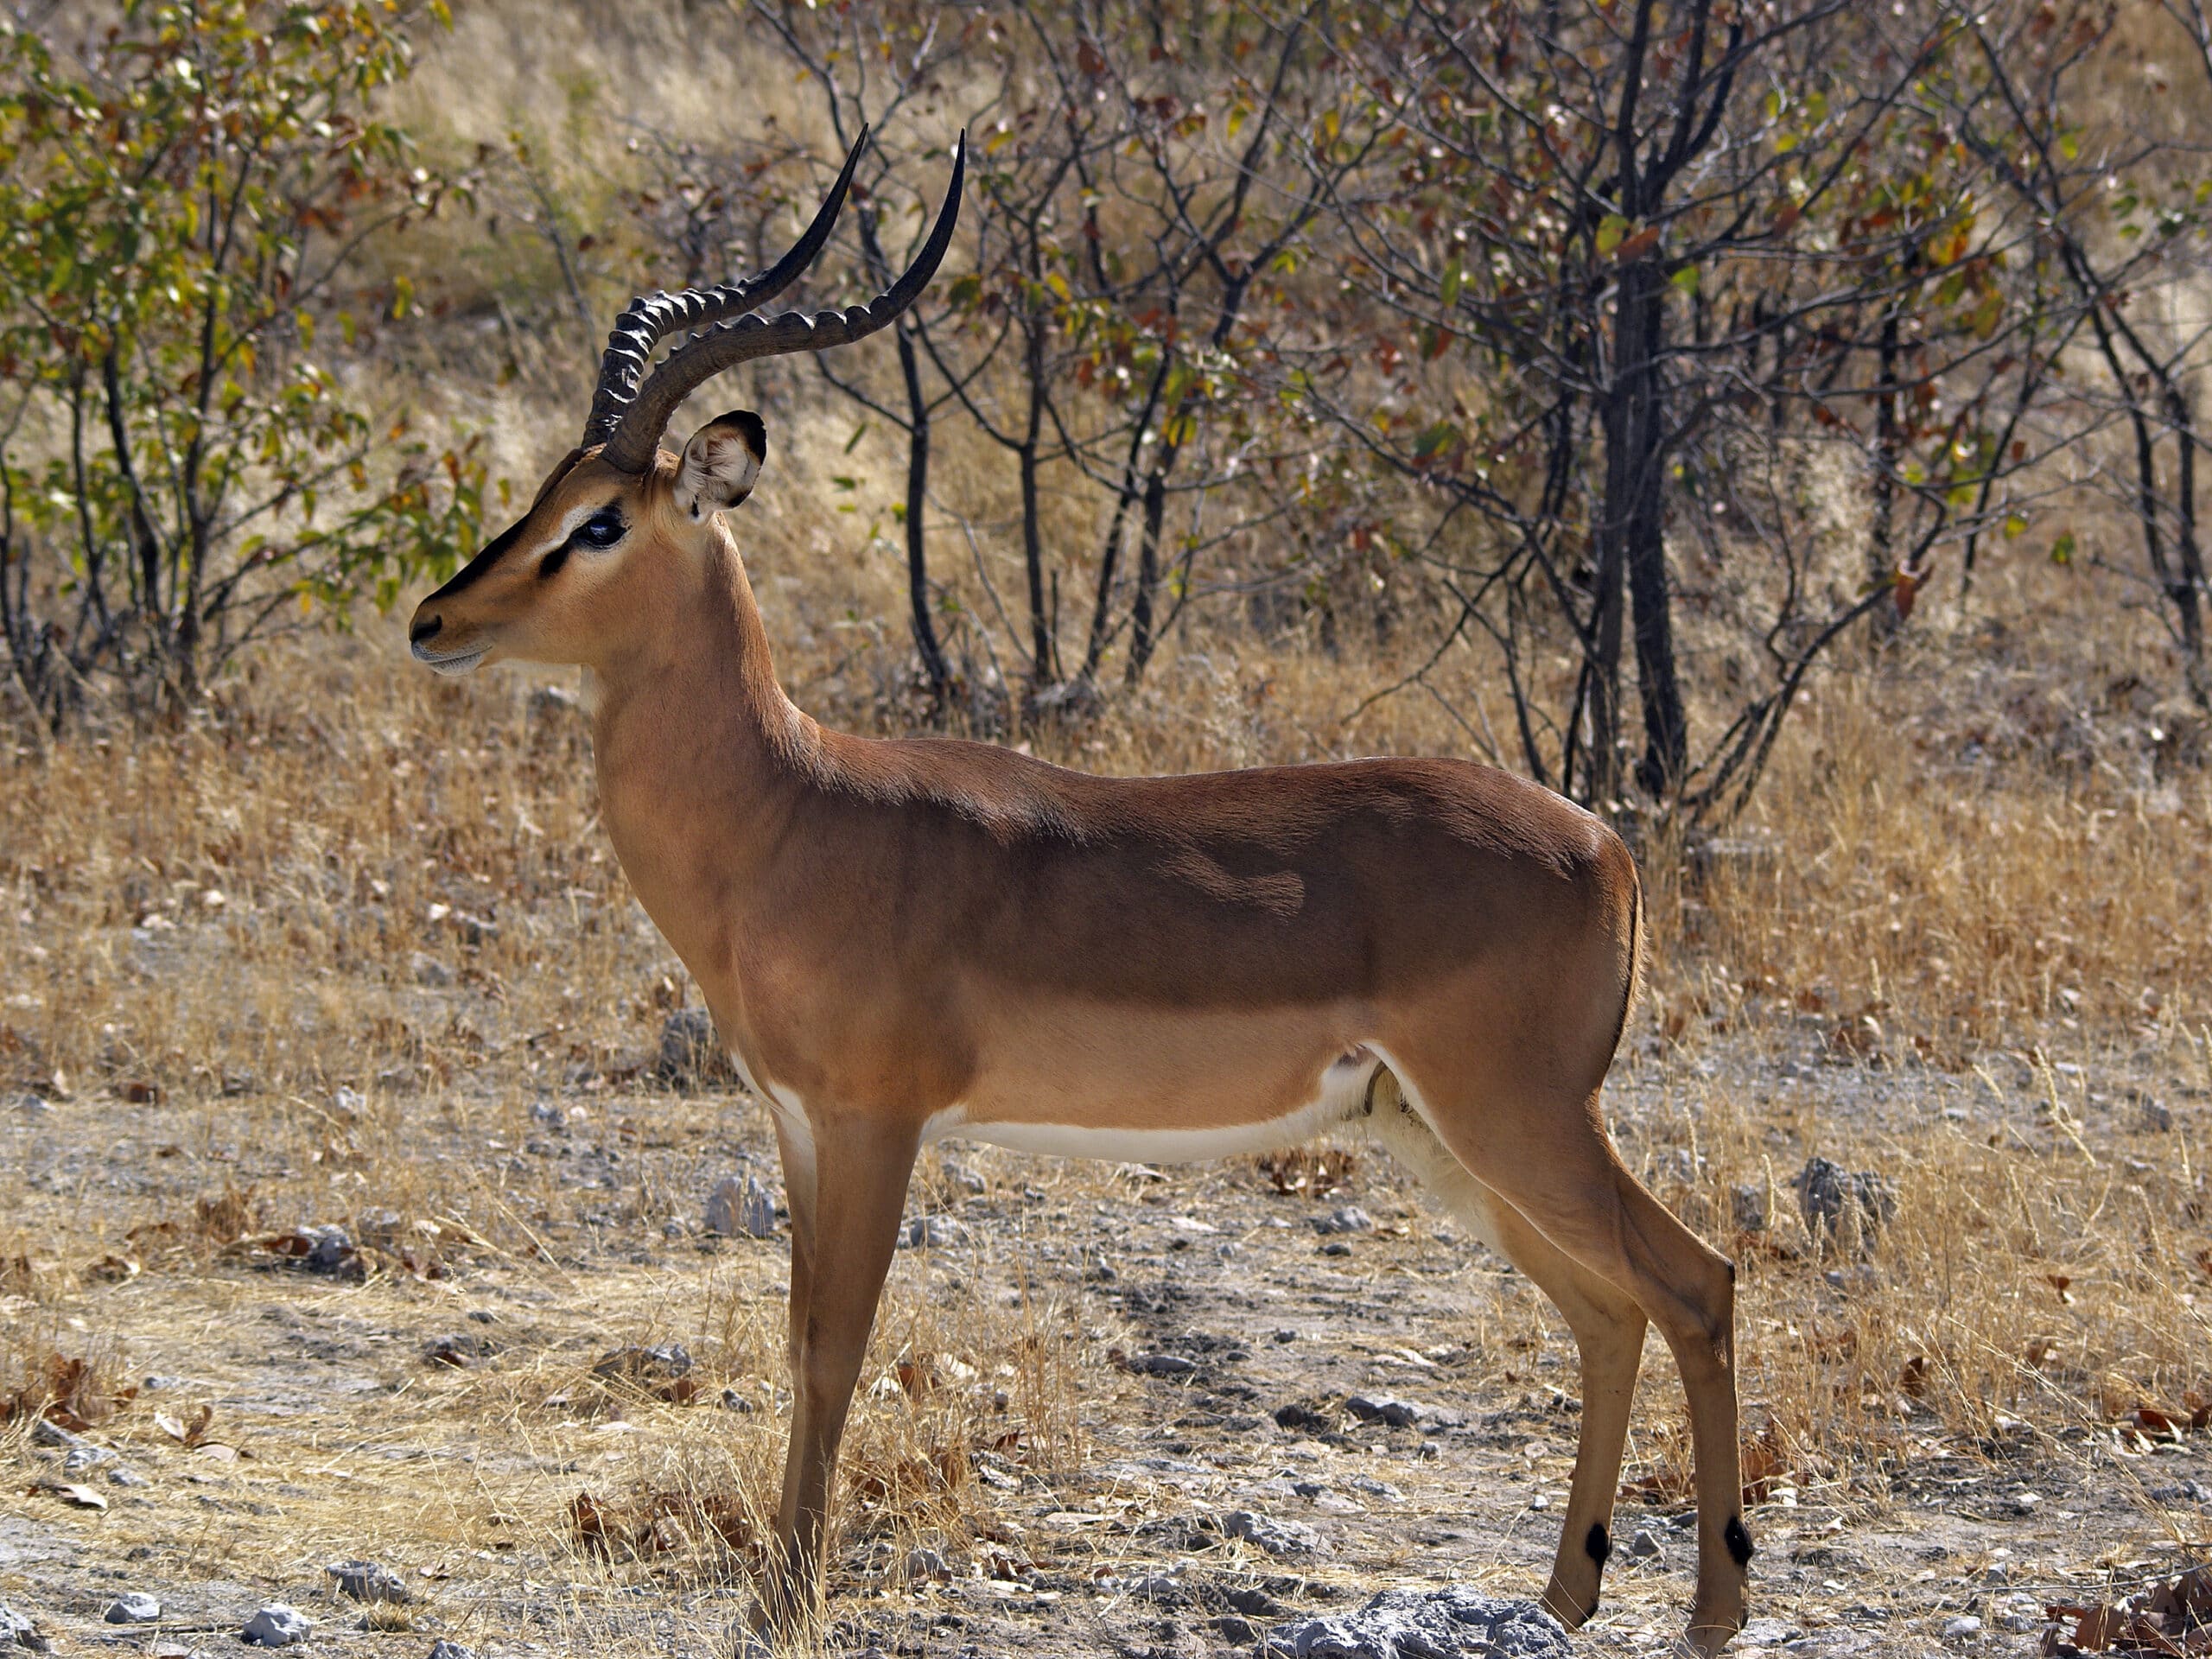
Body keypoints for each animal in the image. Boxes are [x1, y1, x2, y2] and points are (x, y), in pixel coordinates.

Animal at [406, 130, 1750, 1653]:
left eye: (599, 523)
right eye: (544, 488)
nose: (435, 621)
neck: (792, 814)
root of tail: (1609, 845)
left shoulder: (876, 1126)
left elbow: (835, 1348)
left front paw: (791, 1595)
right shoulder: (798, 1126)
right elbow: (798, 1336)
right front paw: (775, 1581)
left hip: (1519, 1117)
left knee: (1697, 1283)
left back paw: (1710, 1613)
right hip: (1443, 1135)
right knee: (1609, 1311)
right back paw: (1567, 1594)